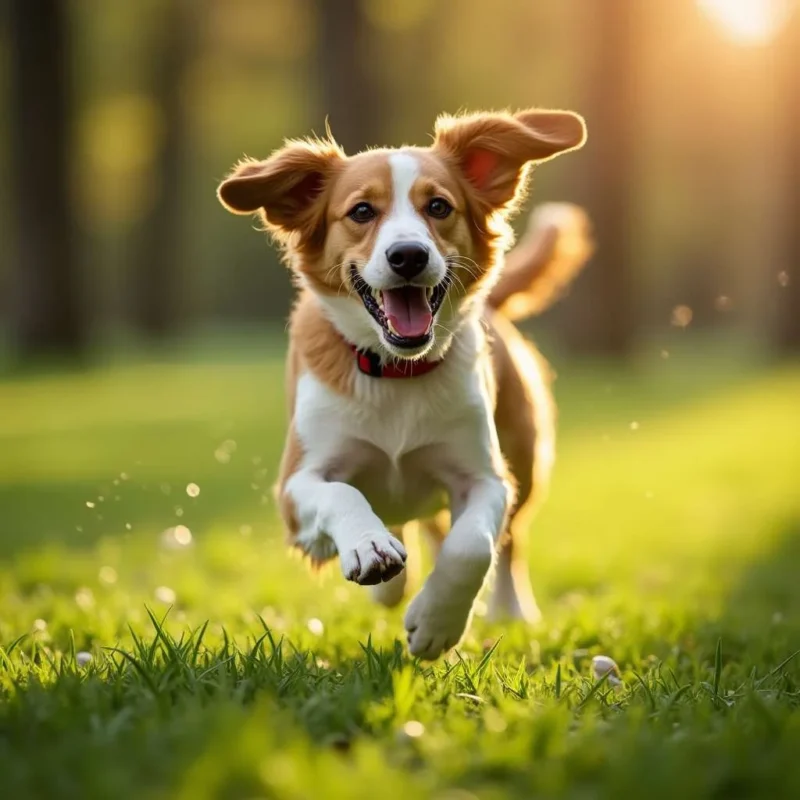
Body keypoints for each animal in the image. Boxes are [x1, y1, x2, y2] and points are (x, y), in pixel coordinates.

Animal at [219, 109, 592, 660]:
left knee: (507, 541)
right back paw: (391, 578)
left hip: (524, 460)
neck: (395, 369)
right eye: (361, 211)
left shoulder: (486, 476)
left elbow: (472, 545)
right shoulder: (295, 486)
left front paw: (436, 623)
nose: (409, 256)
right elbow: (342, 494)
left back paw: (508, 609)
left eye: (438, 206)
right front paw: (371, 549)